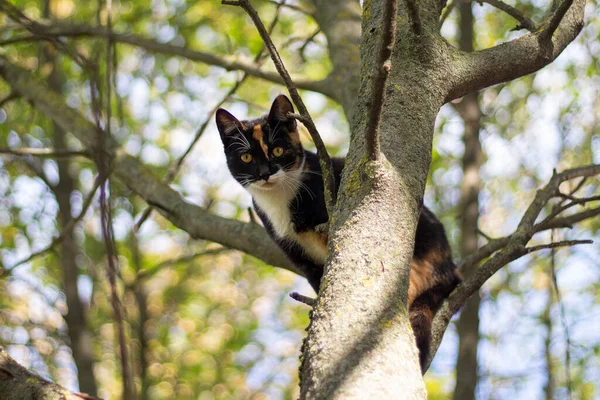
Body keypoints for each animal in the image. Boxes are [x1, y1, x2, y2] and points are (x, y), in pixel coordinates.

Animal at [218, 94, 462, 372]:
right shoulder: (296, 254)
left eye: (277, 150)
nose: (265, 173)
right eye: (246, 157)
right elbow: (317, 280)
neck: (280, 200)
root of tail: (450, 267)